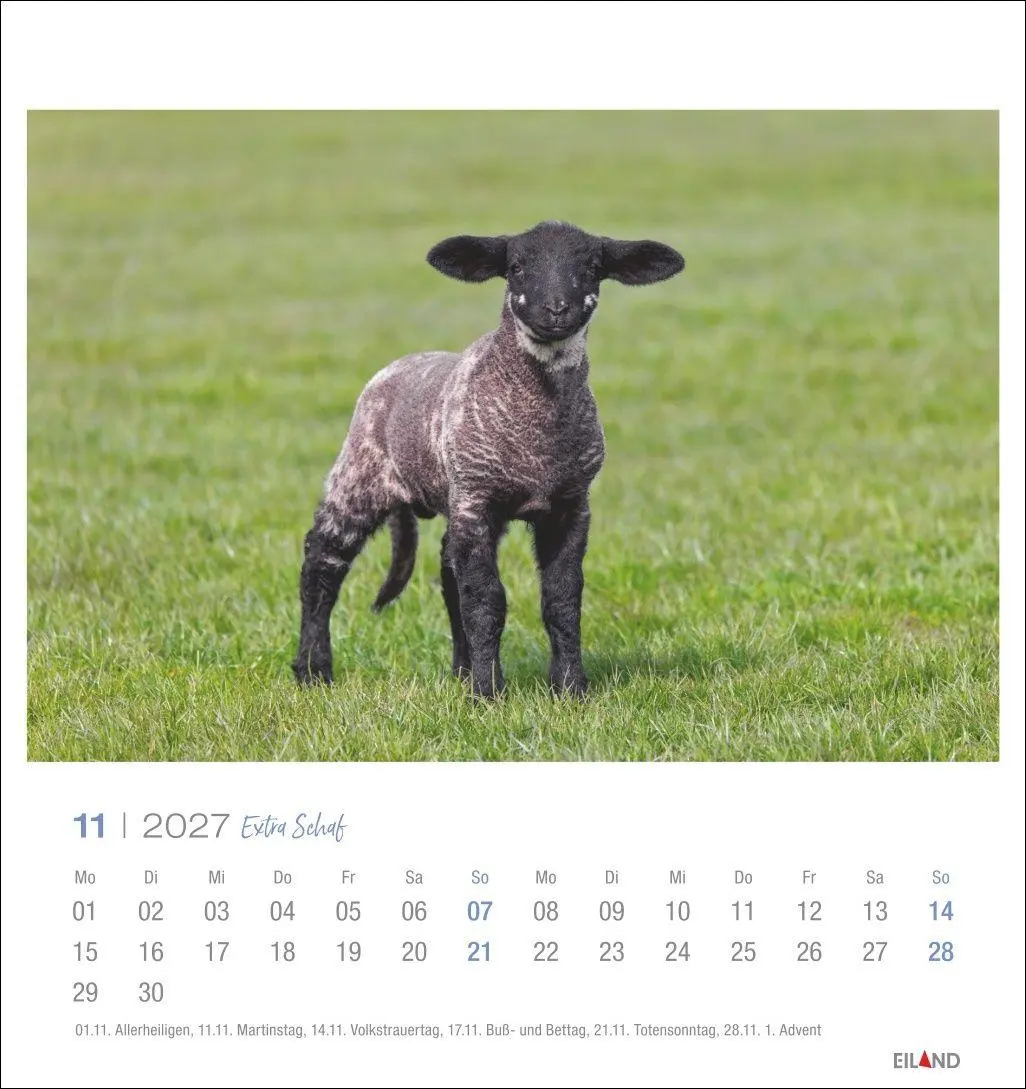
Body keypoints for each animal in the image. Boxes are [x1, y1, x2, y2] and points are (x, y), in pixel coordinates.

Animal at [292, 220, 684, 699]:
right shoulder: (477, 499)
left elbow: (561, 599)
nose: (557, 309)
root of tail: (398, 366)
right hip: (359, 475)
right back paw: (313, 670)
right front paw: (488, 694)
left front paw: (570, 689)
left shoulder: (571, 505)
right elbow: (486, 601)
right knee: (322, 563)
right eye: (516, 267)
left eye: (593, 268)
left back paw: (460, 670)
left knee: (448, 573)